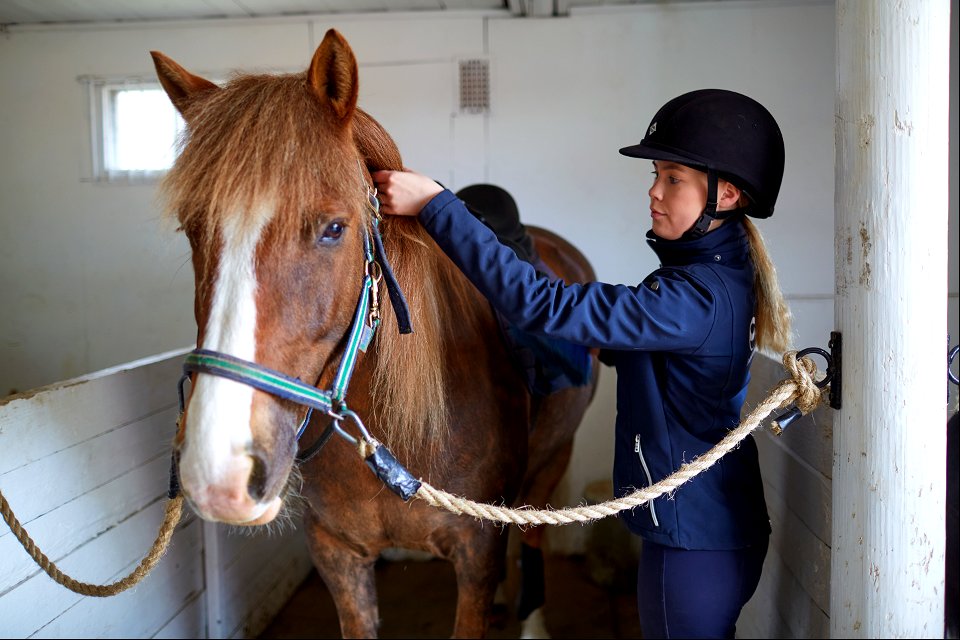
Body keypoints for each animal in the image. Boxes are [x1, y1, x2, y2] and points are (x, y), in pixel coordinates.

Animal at [153, 28, 596, 636]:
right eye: (193, 230)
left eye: (334, 228)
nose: (217, 469)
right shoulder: (337, 555)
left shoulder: (476, 556)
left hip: (552, 465)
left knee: (531, 538)